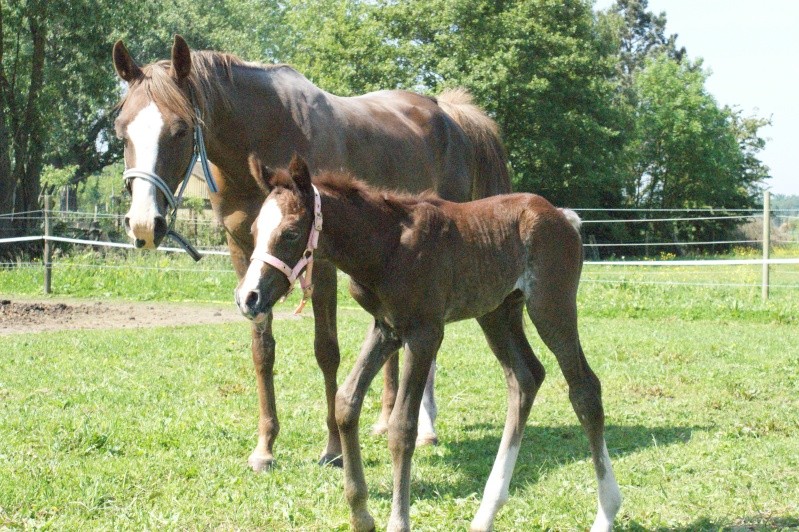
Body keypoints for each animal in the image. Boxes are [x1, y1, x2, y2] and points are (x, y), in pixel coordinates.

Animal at [111, 36, 512, 470]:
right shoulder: (247, 255)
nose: (144, 224)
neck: (265, 131)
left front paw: (334, 447)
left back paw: (426, 428)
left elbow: (327, 351)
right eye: (121, 132)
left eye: (180, 129)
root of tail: (447, 112)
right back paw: (385, 419)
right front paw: (265, 447)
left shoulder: (318, 262)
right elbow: (262, 351)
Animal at [234, 155, 620, 532]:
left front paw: (397, 521)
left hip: (551, 307)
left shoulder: (424, 333)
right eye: (253, 232)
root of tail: (563, 217)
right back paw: (485, 515)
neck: (386, 246)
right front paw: (361, 514)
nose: (248, 298)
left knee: (584, 389)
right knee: (525, 378)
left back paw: (605, 514)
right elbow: (346, 402)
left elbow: (402, 426)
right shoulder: (386, 329)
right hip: (497, 313)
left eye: (290, 233)